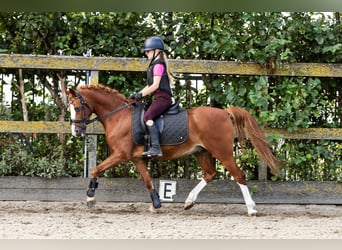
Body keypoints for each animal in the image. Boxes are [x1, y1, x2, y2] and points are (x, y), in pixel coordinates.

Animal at [66, 85, 284, 216]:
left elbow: (96, 169)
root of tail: (224, 112)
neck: (119, 116)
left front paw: (90, 196)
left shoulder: (121, 155)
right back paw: (189, 202)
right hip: (201, 152)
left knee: (239, 175)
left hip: (222, 152)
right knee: (210, 173)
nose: (76, 132)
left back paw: (251, 209)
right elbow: (147, 180)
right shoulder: (137, 158)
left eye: (77, 107)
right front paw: (156, 204)